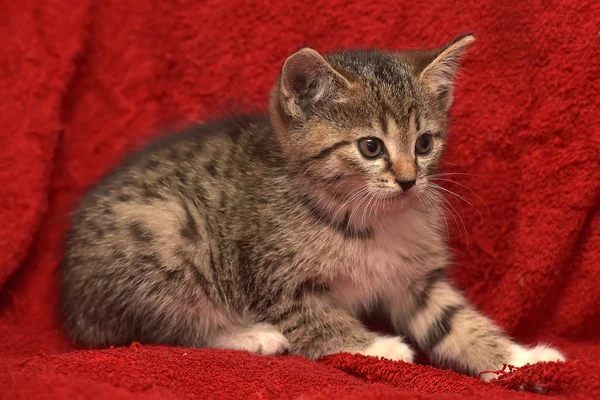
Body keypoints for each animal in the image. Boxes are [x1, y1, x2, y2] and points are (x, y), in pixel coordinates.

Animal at [58, 33, 564, 378]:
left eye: (424, 143)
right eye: (370, 147)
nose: (408, 181)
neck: (366, 215)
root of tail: (73, 304)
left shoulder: (417, 280)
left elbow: (453, 321)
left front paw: (522, 359)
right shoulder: (275, 279)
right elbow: (319, 320)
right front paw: (379, 349)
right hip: (168, 234)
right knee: (163, 330)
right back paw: (252, 334)